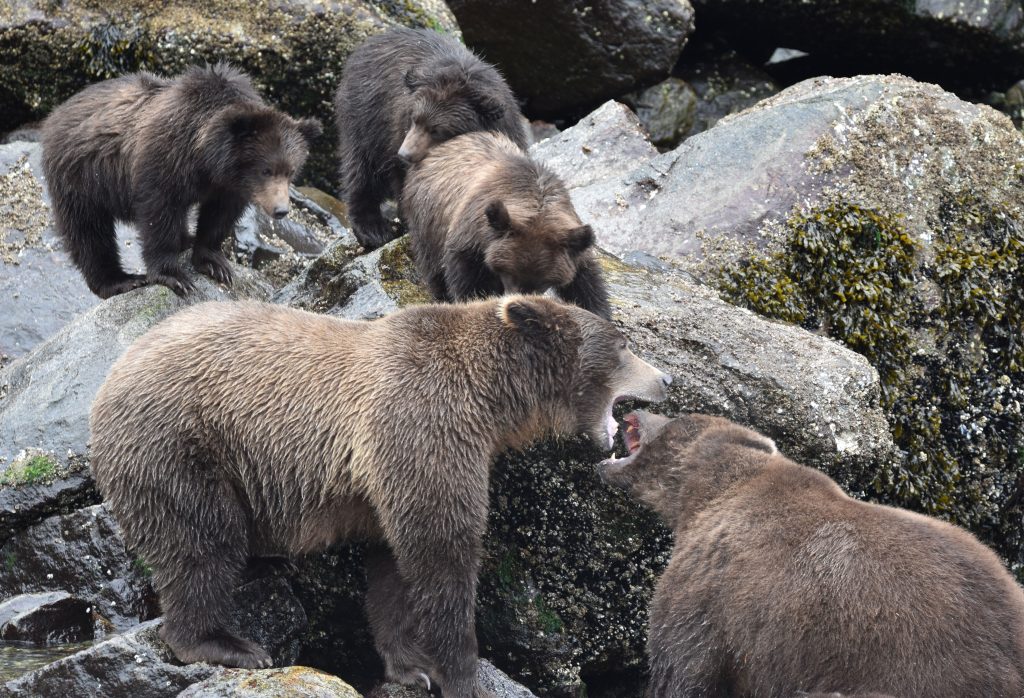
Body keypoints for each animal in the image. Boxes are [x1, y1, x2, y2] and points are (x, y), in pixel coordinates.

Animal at [40, 61, 319, 296]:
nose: (281, 210)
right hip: (82, 177)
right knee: (88, 231)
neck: (208, 161)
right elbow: (158, 215)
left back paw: (185, 238)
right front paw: (175, 277)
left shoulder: (227, 187)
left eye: (291, 171)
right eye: (266, 170)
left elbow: (219, 217)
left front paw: (215, 264)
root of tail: (57, 113)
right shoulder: (164, 162)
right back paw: (119, 280)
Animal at [90, 294, 671, 695]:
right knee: (201, 542)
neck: (491, 401)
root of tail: (112, 376)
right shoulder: (423, 422)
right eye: (621, 342)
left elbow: (394, 566)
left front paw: (410, 665)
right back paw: (228, 645)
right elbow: (442, 551)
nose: (664, 377)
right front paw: (463, 672)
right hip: (180, 445)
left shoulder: (387, 477)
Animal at [335, 27, 528, 249]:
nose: (405, 154)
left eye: (437, 129)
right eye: (414, 118)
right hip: (364, 118)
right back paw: (373, 229)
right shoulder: (396, 130)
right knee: (362, 169)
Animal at [399, 132, 606, 319]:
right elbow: (470, 285)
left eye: (542, 282)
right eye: (510, 273)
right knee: (434, 270)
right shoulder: (472, 244)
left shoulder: (574, 245)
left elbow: (586, 285)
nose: (515, 298)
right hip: (426, 223)